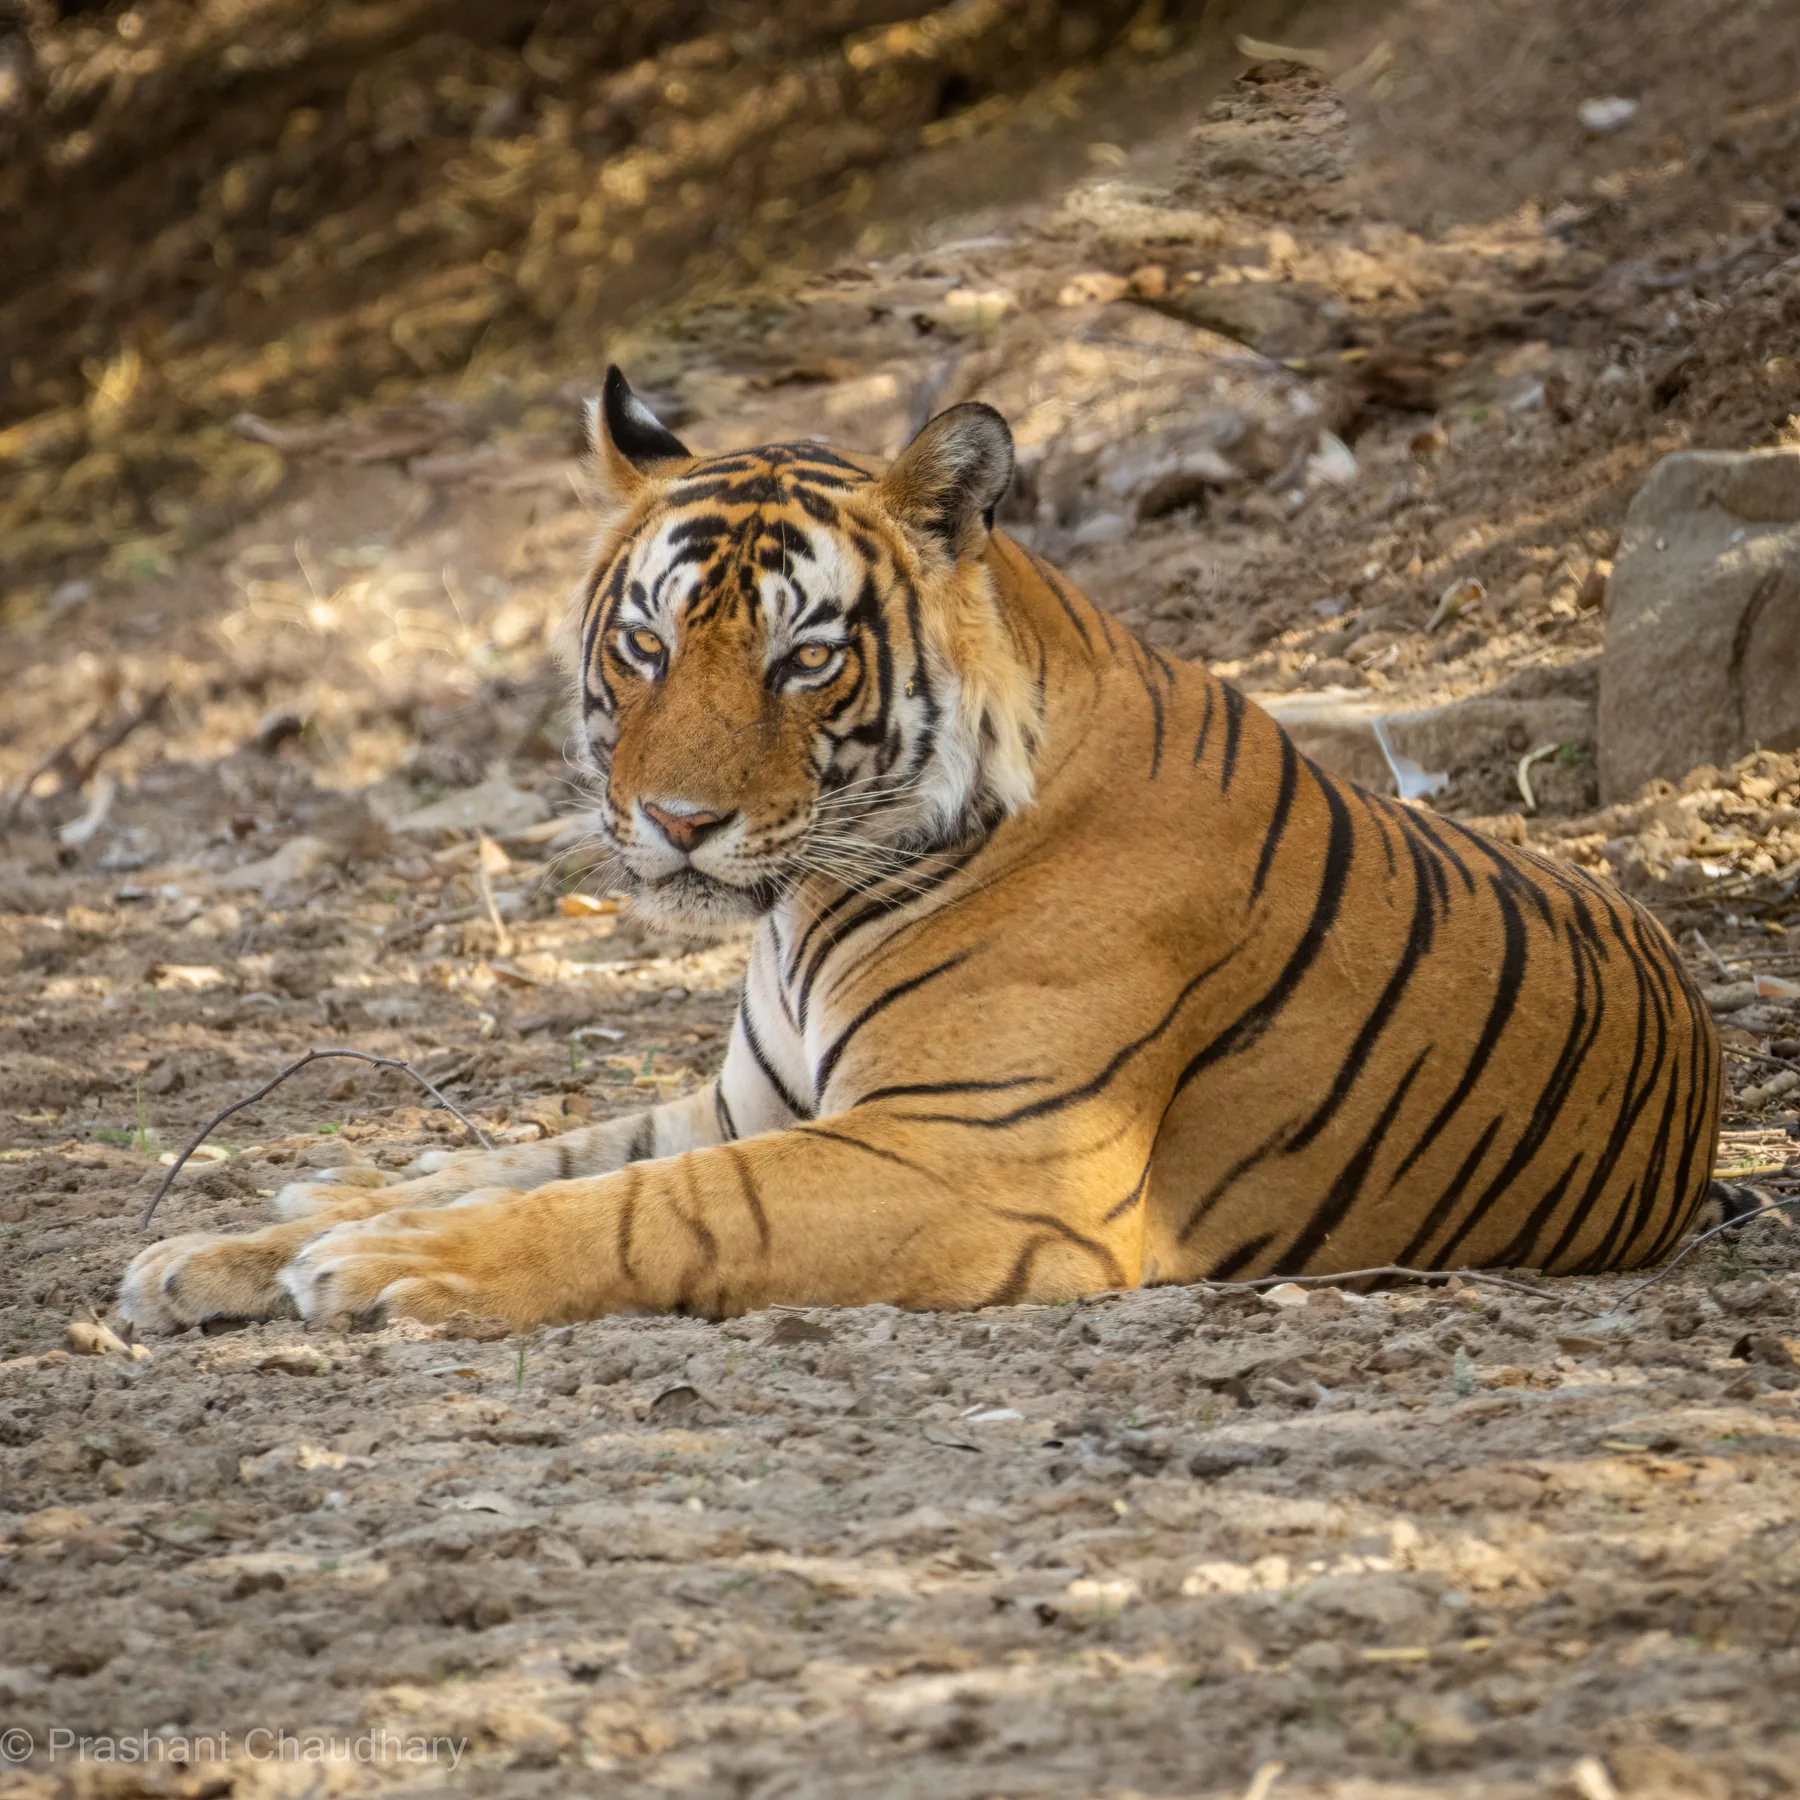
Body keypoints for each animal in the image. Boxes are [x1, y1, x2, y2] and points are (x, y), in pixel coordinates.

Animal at [118, 367, 1724, 1333]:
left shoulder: (978, 1157)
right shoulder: (756, 1101)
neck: (803, 911)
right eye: (646, 646)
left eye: (805, 660)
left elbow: (649, 1207)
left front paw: (385, 1265)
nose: (677, 824)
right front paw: (219, 1249)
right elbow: (537, 1158)